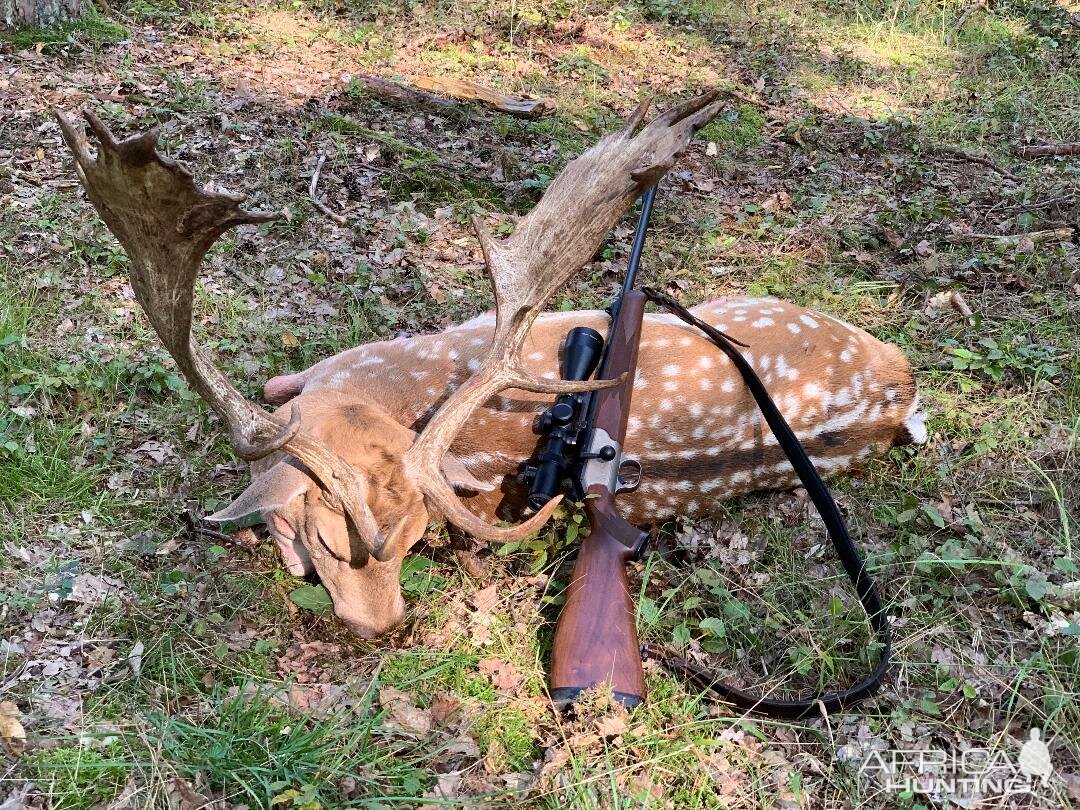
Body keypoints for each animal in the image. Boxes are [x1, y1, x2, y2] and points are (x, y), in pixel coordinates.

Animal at [54, 93, 924, 639]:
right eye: (332, 542)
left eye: (411, 542)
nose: (379, 627)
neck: (362, 397)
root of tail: (899, 384)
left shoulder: (336, 365)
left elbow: (273, 386)